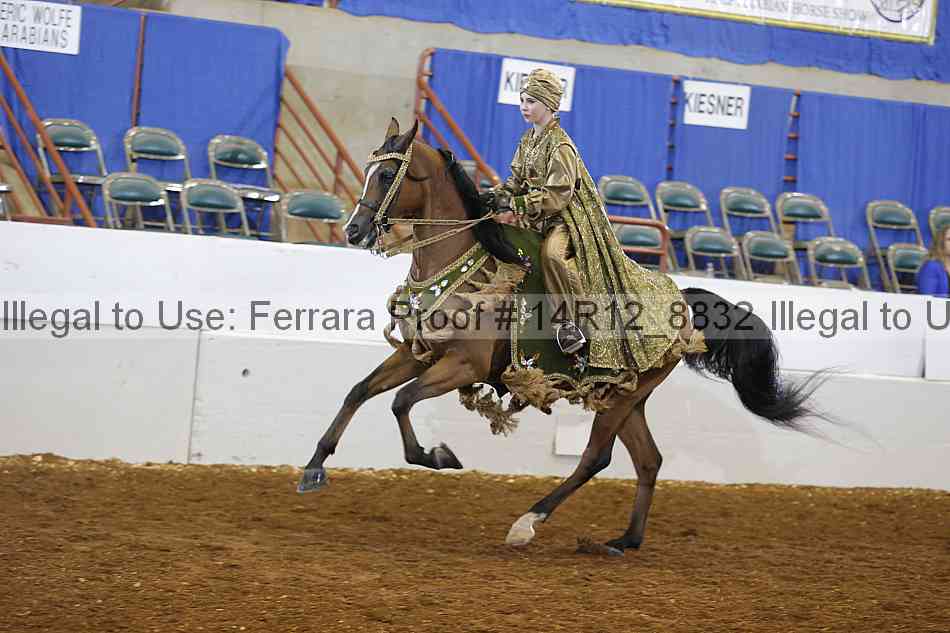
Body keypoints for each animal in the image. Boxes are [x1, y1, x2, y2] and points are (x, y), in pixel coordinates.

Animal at [296, 118, 827, 554]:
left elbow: (400, 402)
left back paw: (528, 522)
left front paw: (438, 455)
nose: (353, 230)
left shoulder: (461, 366)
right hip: (626, 395)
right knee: (648, 460)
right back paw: (622, 542)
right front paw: (314, 468)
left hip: (620, 397)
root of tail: (683, 302)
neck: (468, 261)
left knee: (595, 457)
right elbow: (360, 391)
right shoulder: (417, 352)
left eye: (388, 175)